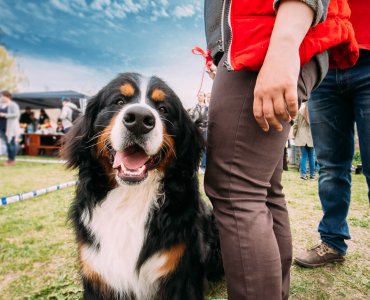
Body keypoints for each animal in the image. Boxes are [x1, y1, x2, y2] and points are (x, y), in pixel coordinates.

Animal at [63, 73, 223, 300]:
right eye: (119, 101)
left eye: (163, 108)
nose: (139, 119)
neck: (131, 197)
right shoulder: (97, 272)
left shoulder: (182, 276)